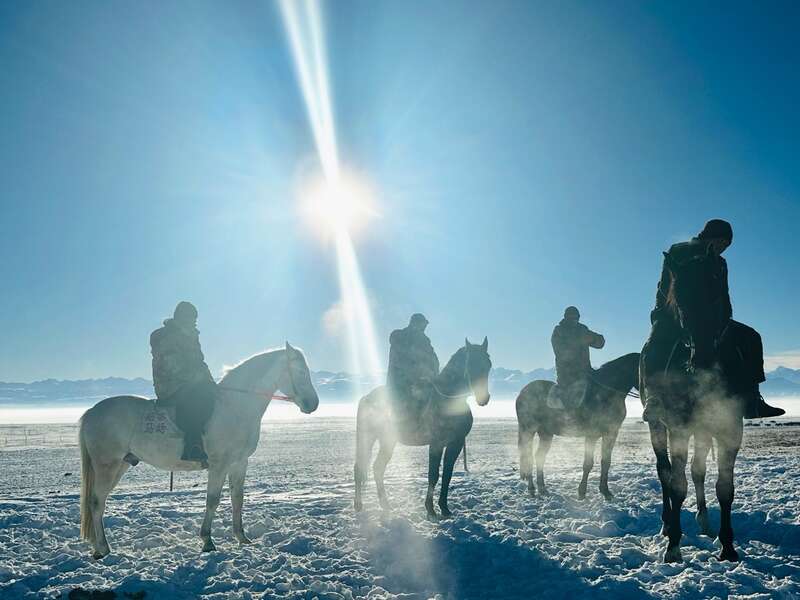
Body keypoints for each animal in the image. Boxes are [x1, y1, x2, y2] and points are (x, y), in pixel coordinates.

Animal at [78, 344, 318, 560]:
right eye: (300, 372)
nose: (313, 404)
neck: (235, 407)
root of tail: (91, 412)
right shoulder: (219, 464)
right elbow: (213, 500)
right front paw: (207, 541)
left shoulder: (239, 463)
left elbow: (237, 499)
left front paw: (242, 538)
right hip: (107, 465)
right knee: (96, 502)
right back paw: (103, 548)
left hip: (121, 464)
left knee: (99, 502)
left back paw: (99, 548)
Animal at [354, 340, 490, 516]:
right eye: (470, 364)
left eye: (488, 365)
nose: (484, 399)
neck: (449, 402)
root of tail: (366, 397)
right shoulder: (436, 444)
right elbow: (433, 475)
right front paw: (430, 509)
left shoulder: (456, 444)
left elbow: (447, 474)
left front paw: (444, 508)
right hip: (368, 438)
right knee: (360, 467)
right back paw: (358, 505)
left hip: (387, 441)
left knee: (378, 467)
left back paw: (385, 505)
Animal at [516, 354, 640, 500]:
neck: (606, 394)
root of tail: (522, 392)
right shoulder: (592, 435)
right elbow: (588, 464)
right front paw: (582, 492)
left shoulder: (611, 434)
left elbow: (606, 462)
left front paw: (605, 491)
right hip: (528, 430)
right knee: (527, 456)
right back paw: (532, 489)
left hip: (546, 434)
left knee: (539, 456)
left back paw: (542, 488)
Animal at [640, 250, 748, 564]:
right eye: (681, 301)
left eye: (717, 293)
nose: (702, 359)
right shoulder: (678, 428)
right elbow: (677, 485)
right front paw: (674, 546)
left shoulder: (729, 428)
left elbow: (724, 488)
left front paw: (727, 546)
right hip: (658, 425)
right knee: (664, 472)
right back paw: (667, 524)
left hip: (703, 429)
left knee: (697, 470)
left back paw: (704, 521)